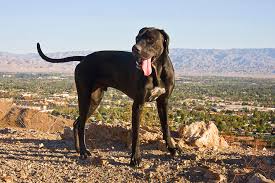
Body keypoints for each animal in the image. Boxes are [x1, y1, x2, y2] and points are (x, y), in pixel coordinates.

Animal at [36, 26, 177, 166]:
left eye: (150, 39)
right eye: (137, 38)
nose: (135, 49)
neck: (157, 71)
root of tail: (84, 58)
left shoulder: (163, 102)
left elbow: (166, 127)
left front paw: (172, 149)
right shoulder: (138, 105)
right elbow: (136, 134)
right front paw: (135, 159)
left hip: (94, 100)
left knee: (77, 122)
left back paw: (78, 149)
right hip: (84, 97)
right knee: (81, 125)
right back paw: (83, 152)